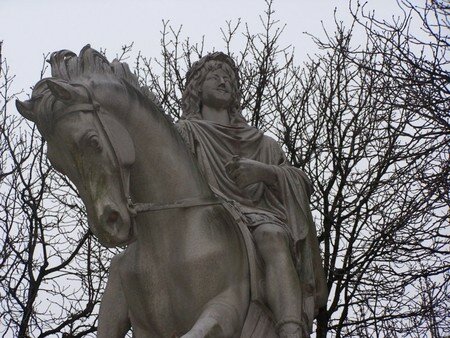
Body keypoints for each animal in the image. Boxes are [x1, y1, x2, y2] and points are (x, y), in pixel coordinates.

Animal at [15, 46, 276, 336]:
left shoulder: (226, 307)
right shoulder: (145, 327)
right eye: (56, 162)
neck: (170, 235)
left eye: (93, 141)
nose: (109, 224)